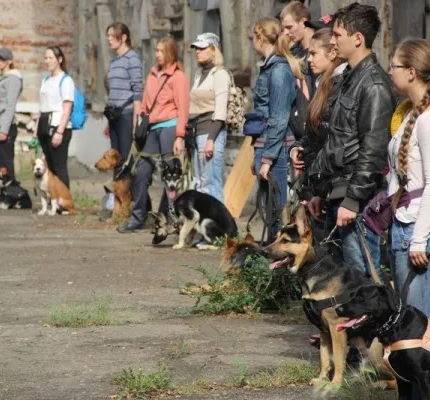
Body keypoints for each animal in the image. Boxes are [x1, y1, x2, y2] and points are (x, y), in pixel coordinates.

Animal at [266, 205, 386, 386]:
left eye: (285, 241)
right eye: (276, 238)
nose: (263, 250)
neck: (315, 266)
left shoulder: (336, 328)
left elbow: (337, 358)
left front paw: (335, 384)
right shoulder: (323, 330)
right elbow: (324, 358)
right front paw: (322, 378)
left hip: (376, 350)